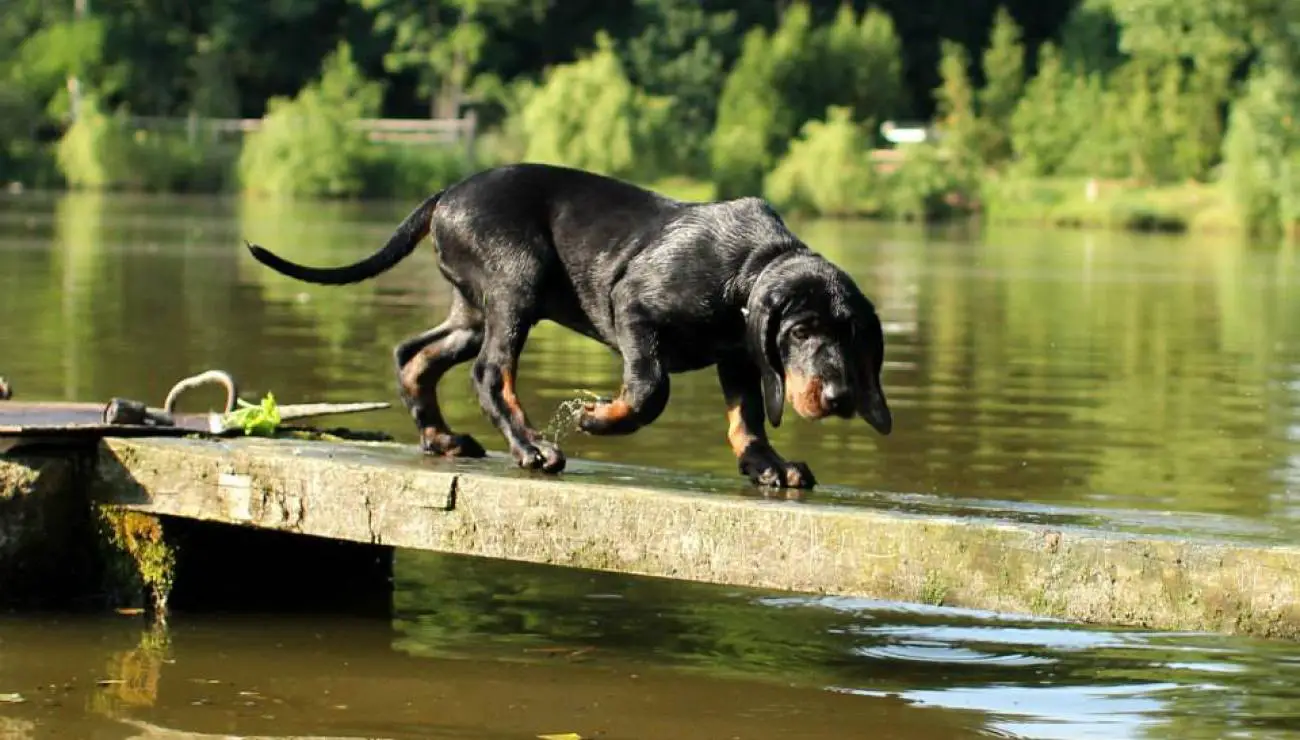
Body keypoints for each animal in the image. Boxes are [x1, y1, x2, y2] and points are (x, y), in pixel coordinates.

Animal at [244, 164, 889, 486]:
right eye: (801, 332)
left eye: (852, 336)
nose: (840, 398)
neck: (747, 270)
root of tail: (446, 194)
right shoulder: (632, 307)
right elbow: (651, 388)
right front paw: (599, 418)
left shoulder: (737, 356)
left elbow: (747, 419)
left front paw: (767, 467)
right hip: (516, 285)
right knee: (490, 373)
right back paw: (530, 447)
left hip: (474, 308)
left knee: (414, 355)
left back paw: (441, 439)